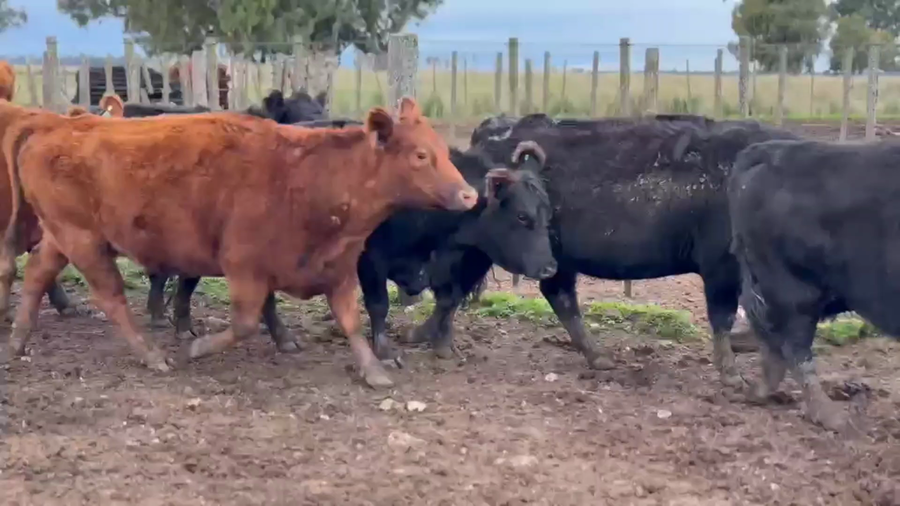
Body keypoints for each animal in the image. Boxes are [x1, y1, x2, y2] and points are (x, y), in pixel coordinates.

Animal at [0, 97, 477, 389]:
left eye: (443, 150)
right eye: (420, 155)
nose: (470, 195)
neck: (310, 179)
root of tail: (55, 126)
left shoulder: (337, 267)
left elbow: (350, 321)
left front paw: (373, 369)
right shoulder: (245, 267)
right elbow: (246, 322)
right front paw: (196, 347)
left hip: (62, 235)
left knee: (38, 273)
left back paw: (18, 340)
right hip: (84, 240)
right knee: (110, 297)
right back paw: (151, 354)